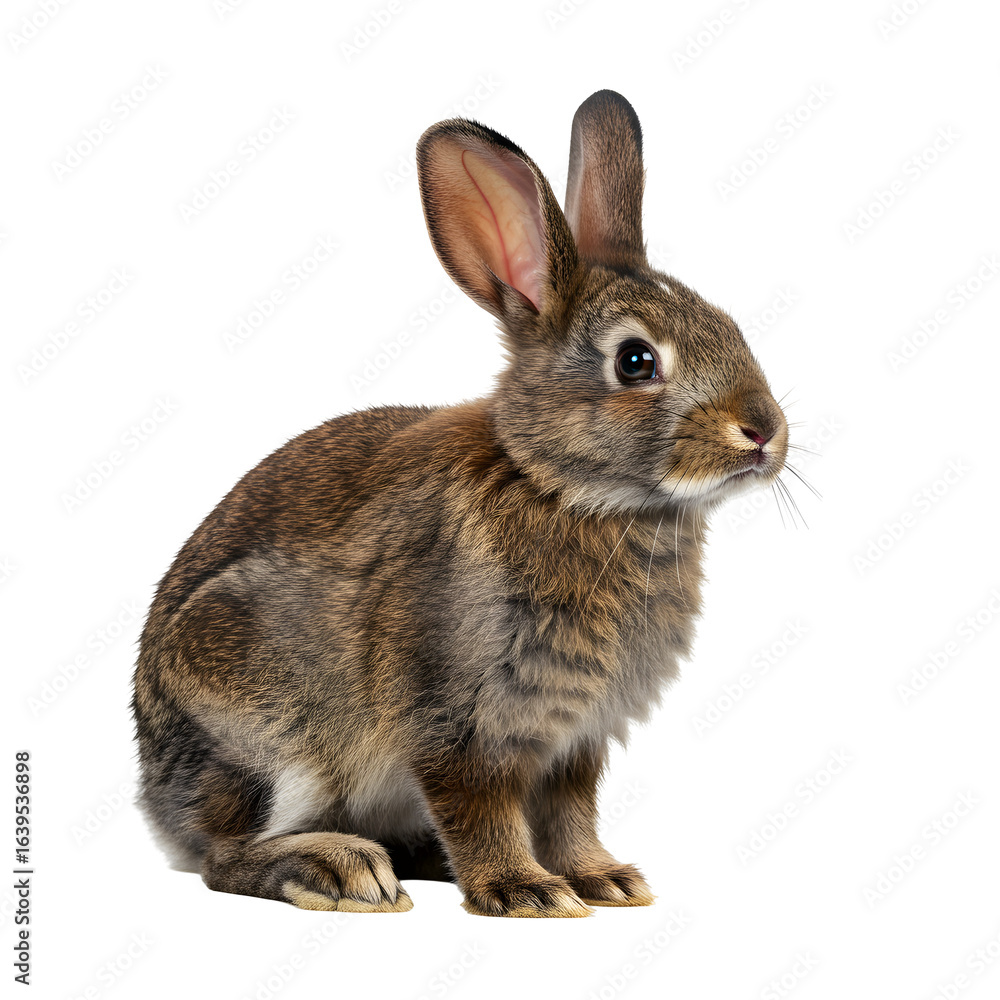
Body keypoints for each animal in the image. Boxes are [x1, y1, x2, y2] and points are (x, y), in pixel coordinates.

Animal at [132, 90, 789, 918]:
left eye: (728, 325)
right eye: (637, 361)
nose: (766, 432)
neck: (562, 488)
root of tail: (156, 798)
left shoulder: (576, 739)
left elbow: (570, 811)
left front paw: (603, 879)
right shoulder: (461, 720)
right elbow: (479, 808)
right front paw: (523, 891)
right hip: (269, 734)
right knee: (224, 856)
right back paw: (340, 869)